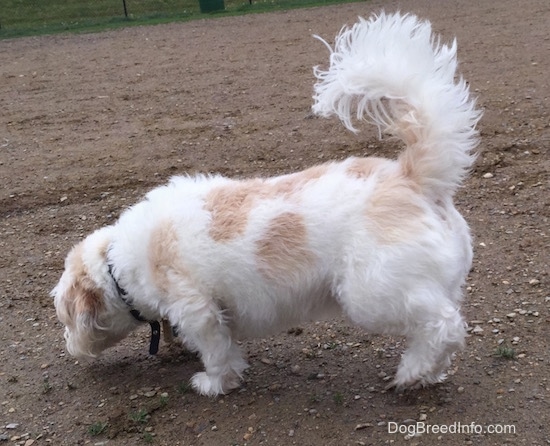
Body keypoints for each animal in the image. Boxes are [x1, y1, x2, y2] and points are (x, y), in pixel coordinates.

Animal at [52, 10, 484, 396]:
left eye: (65, 317)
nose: (71, 349)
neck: (118, 263)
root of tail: (412, 177)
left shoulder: (198, 309)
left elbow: (217, 353)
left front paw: (213, 383)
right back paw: (428, 373)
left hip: (372, 294)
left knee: (444, 327)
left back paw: (412, 373)